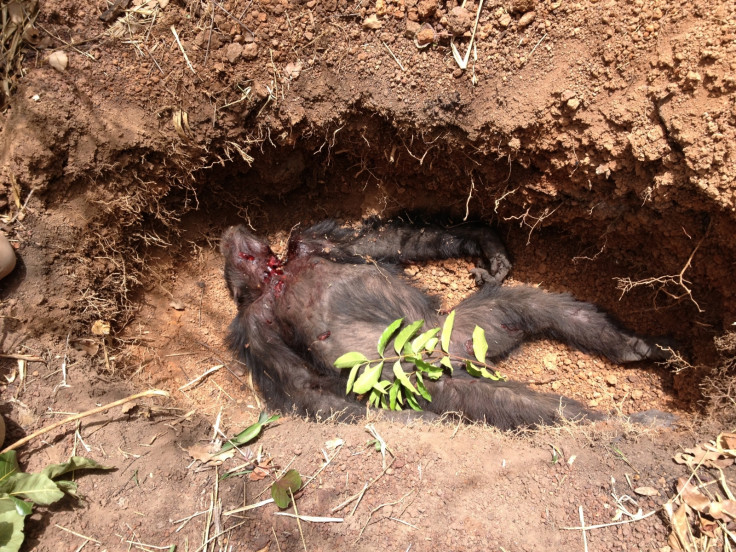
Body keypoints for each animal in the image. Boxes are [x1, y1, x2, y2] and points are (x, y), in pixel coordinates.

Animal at [221, 218, 676, 430]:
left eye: (245, 250)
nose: (232, 233)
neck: (276, 278)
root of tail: (451, 355)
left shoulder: (316, 241)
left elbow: (392, 242)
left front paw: (488, 245)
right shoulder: (257, 329)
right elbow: (305, 386)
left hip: (463, 331)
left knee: (527, 304)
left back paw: (637, 347)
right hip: (430, 375)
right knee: (496, 400)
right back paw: (617, 420)